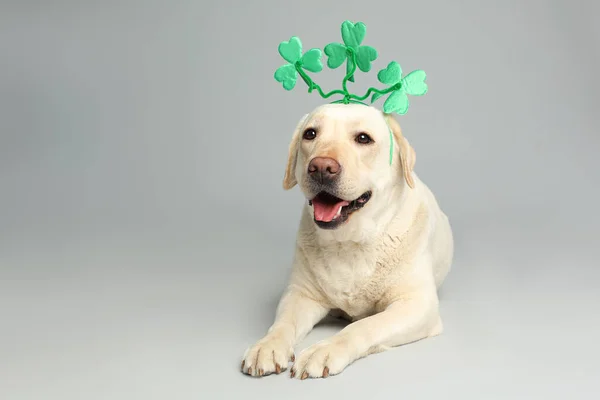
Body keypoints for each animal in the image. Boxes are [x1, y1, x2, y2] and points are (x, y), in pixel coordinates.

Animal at [241, 102, 452, 378]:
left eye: (363, 138)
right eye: (310, 134)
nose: (321, 167)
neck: (349, 243)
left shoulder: (416, 305)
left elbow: (365, 326)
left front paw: (325, 349)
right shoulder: (300, 294)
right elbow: (283, 323)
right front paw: (267, 346)